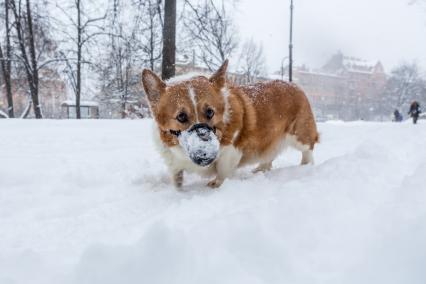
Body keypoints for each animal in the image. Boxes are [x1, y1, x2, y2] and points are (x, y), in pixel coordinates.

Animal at [141, 60, 318, 189]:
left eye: (210, 112)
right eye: (181, 116)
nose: (206, 153)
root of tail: (296, 86)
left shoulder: (231, 152)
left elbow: (222, 172)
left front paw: (216, 185)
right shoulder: (173, 162)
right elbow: (177, 179)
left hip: (299, 136)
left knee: (308, 149)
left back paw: (305, 166)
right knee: (268, 157)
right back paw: (259, 170)